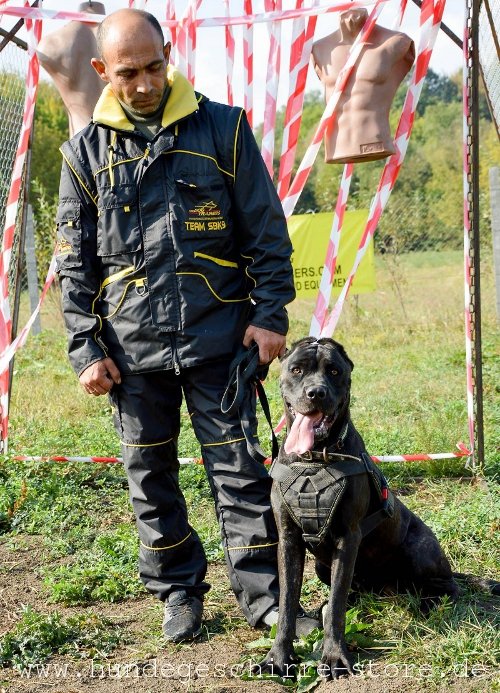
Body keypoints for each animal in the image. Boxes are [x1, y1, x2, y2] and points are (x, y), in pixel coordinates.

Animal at [262, 338, 460, 680]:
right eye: (297, 370)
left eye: (334, 371)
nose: (316, 393)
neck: (314, 458)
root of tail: (388, 588)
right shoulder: (288, 540)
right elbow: (288, 603)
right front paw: (278, 658)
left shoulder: (347, 538)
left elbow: (337, 608)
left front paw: (334, 657)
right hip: (323, 566)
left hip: (418, 549)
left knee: (446, 586)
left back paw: (427, 603)